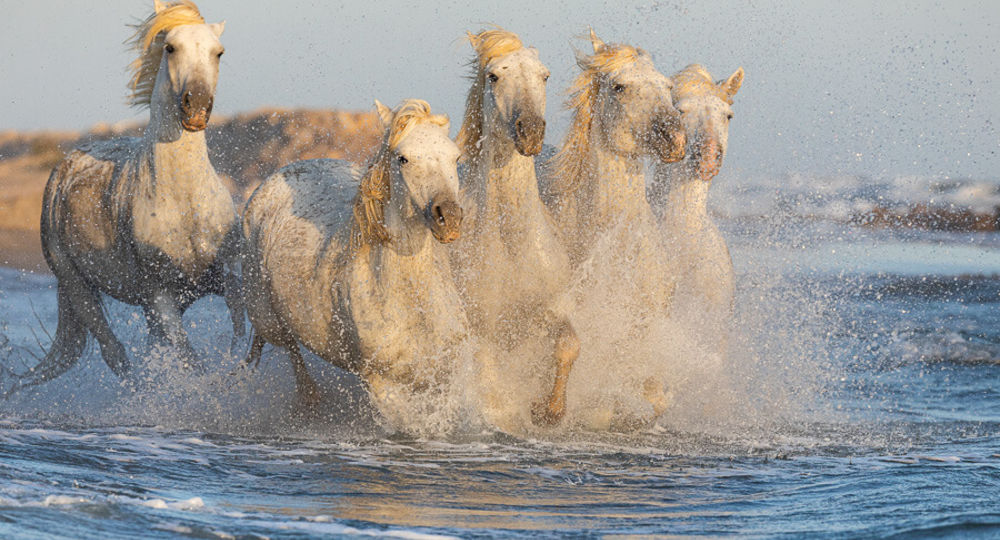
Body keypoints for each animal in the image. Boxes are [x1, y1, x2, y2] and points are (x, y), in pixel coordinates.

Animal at [10, 0, 242, 395]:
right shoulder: (161, 297)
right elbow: (190, 363)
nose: (196, 106)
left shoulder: (223, 280)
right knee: (114, 352)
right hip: (77, 285)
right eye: (170, 48)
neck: (185, 201)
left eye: (219, 52)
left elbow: (243, 334)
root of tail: (66, 166)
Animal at [241, 99, 476, 430]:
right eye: (403, 158)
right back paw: (310, 401)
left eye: (455, 157)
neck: (410, 298)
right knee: (291, 349)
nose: (449, 218)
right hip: (268, 318)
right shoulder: (381, 384)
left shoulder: (445, 374)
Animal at [451, 28, 578, 427]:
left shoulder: (552, 308)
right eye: (494, 76)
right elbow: (493, 393)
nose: (531, 132)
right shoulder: (485, 331)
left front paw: (549, 410)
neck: (512, 249)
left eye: (545, 75)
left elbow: (569, 345)